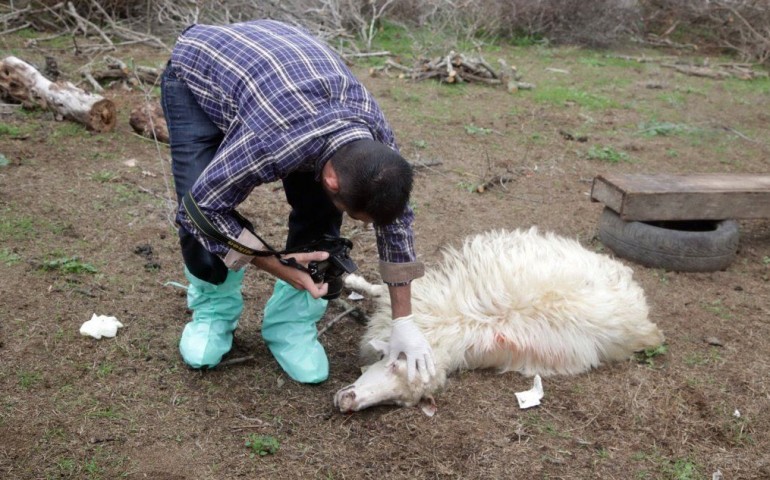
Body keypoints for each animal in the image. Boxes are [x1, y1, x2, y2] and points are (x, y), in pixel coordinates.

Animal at [334, 228, 664, 415]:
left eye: (398, 402)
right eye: (389, 364)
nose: (347, 402)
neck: (450, 326)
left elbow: (383, 290)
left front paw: (352, 281)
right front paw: (352, 281)